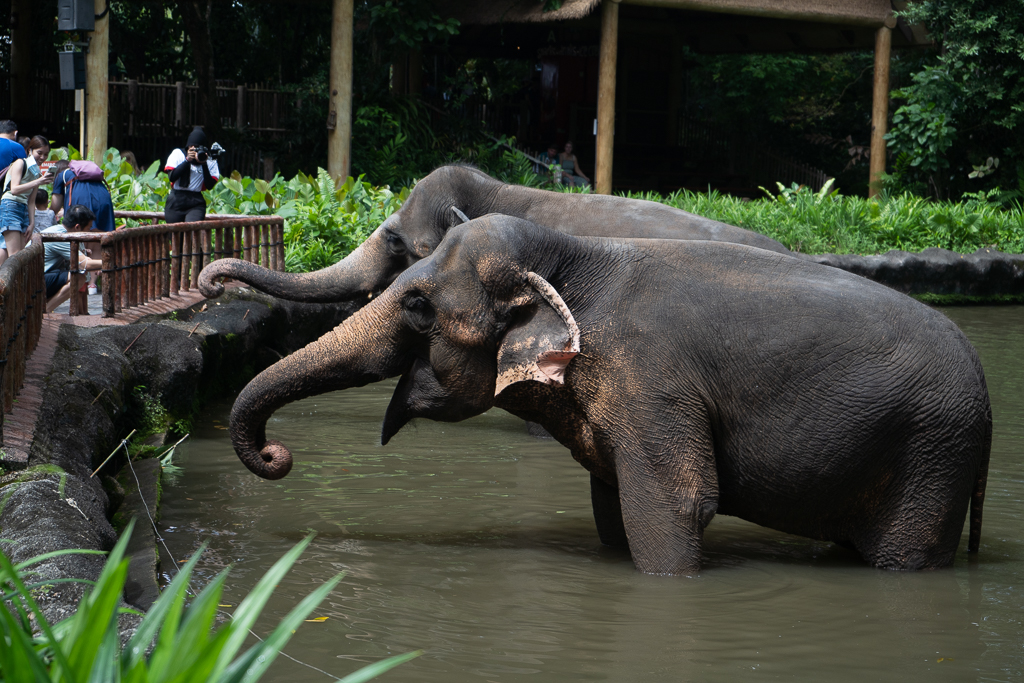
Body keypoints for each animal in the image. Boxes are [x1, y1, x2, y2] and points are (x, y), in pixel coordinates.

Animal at [228, 215, 987, 577]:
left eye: (417, 306)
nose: (275, 454)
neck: (574, 253)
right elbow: (611, 501)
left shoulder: (655, 385)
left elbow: (678, 504)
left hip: (931, 457)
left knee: (902, 557)